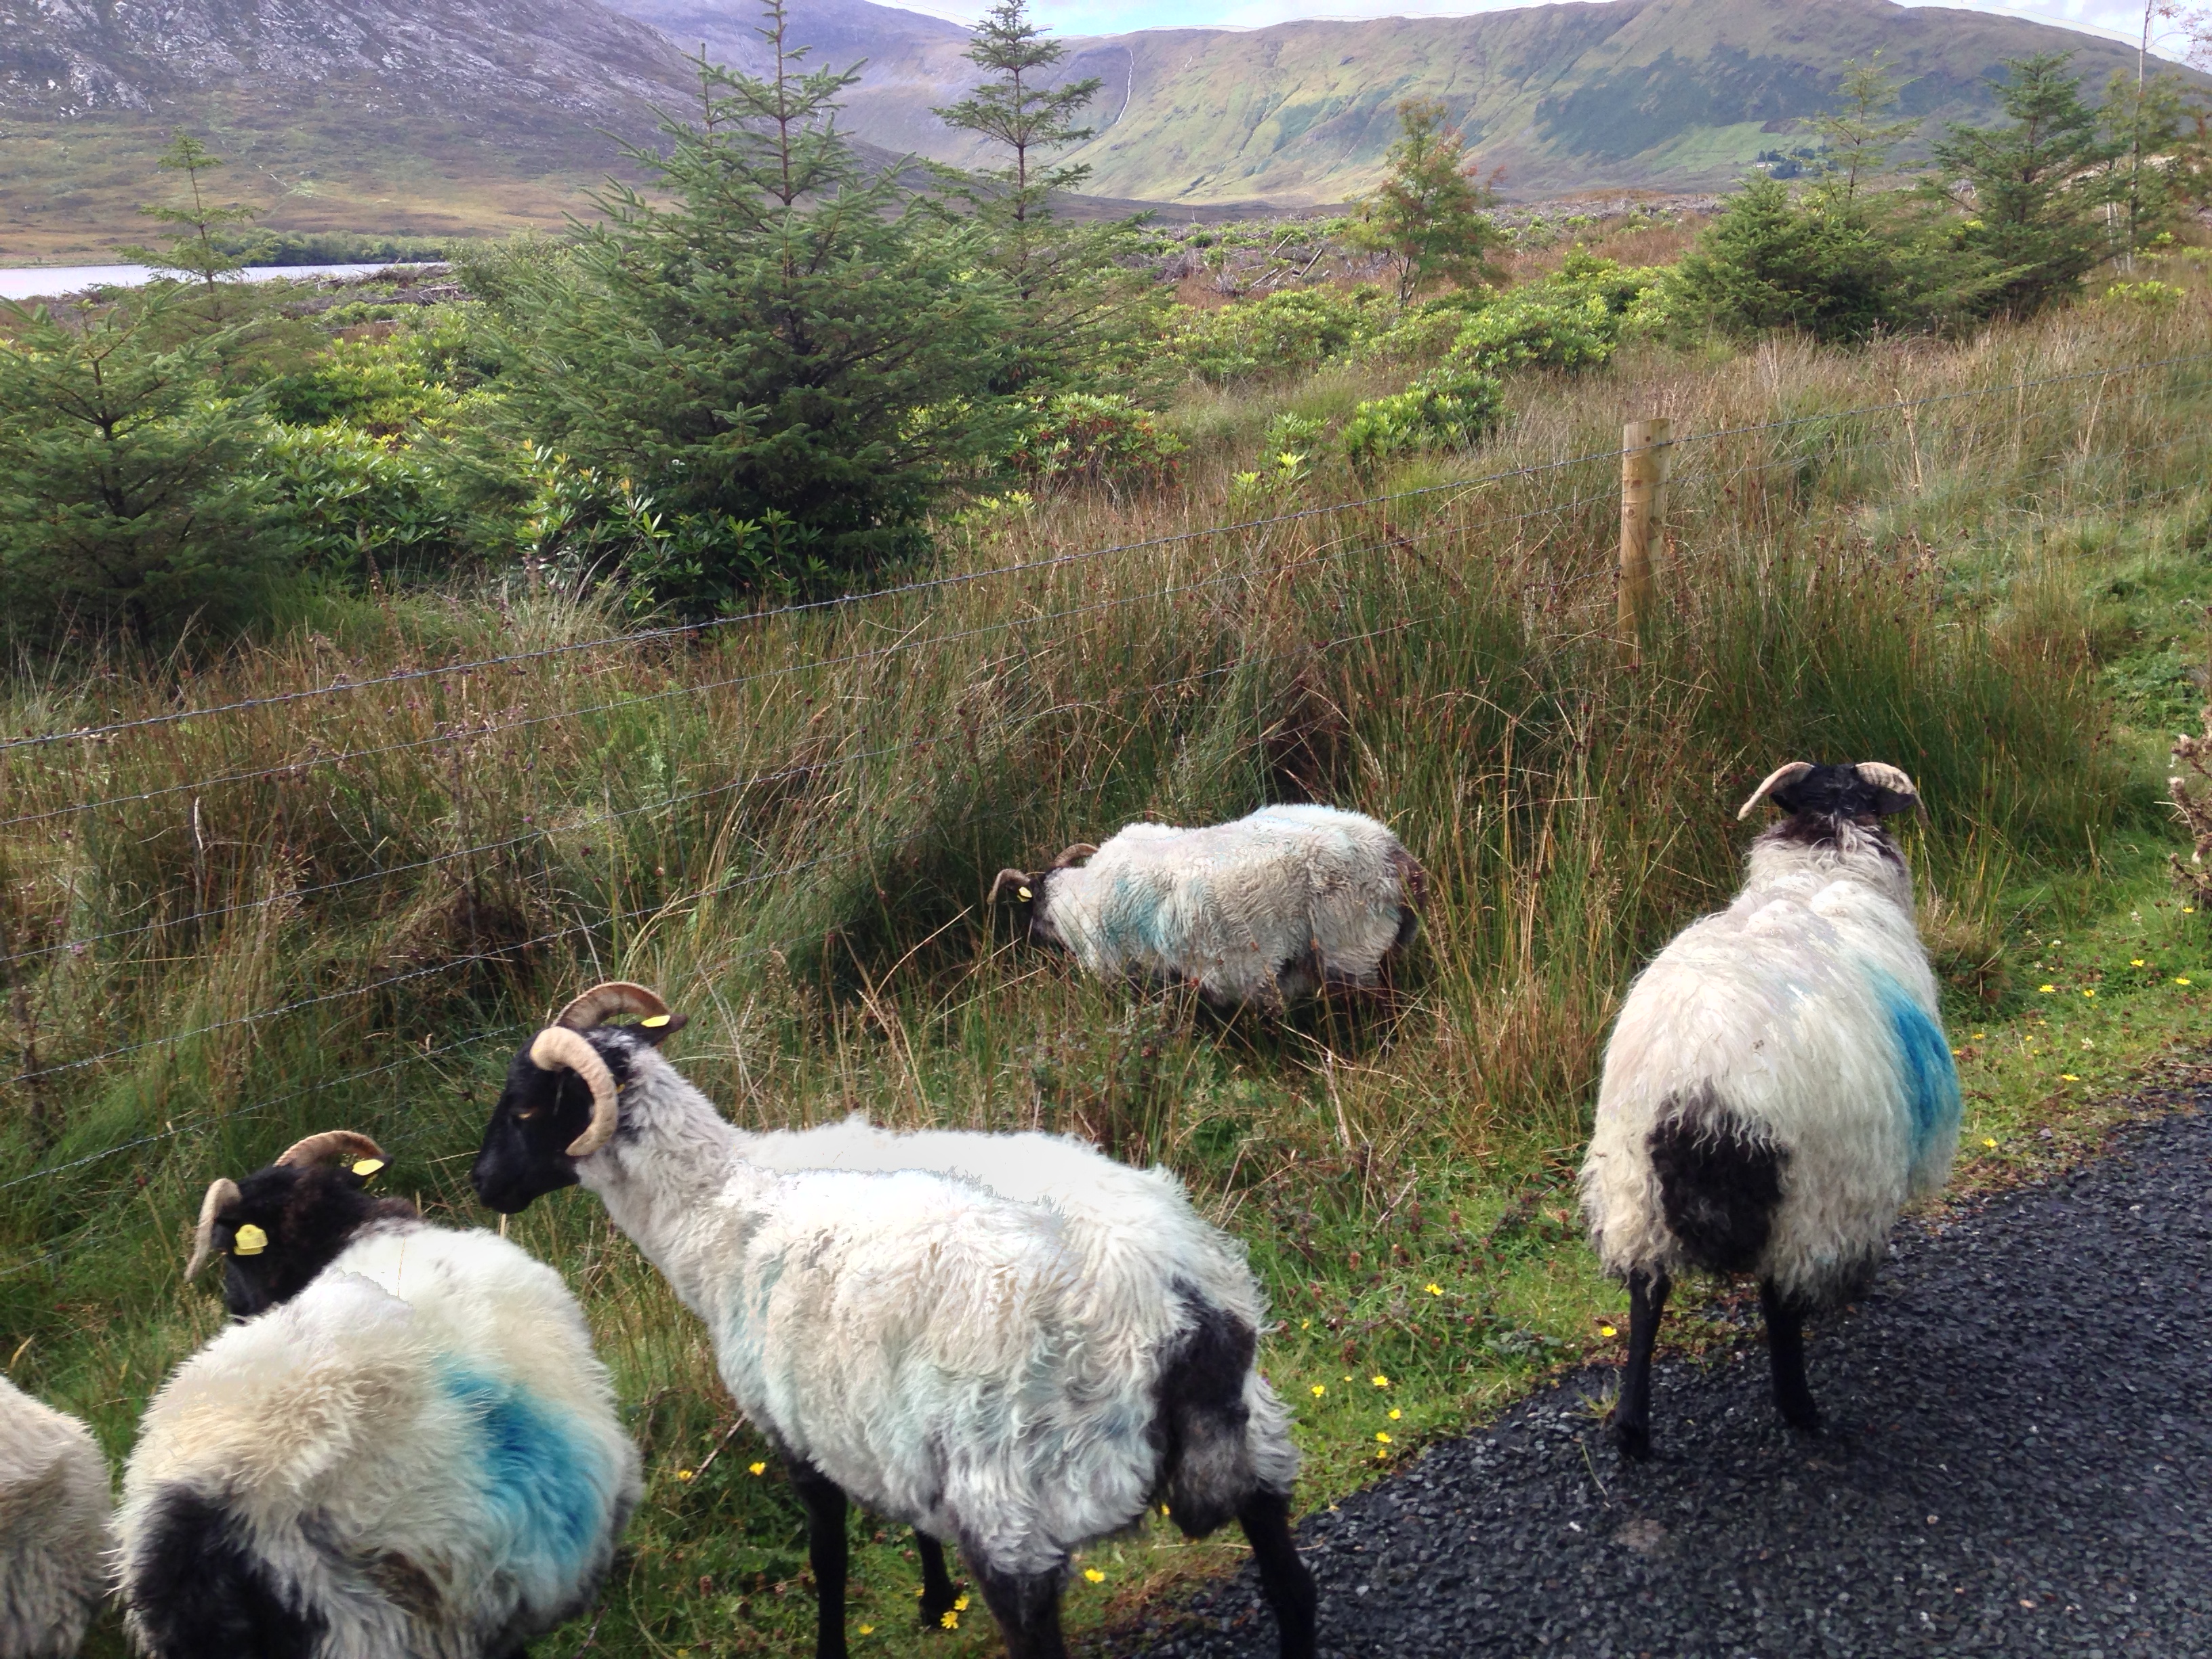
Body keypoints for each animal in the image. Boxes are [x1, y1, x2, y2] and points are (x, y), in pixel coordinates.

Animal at [466, 986, 1309, 1659]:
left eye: (526, 1106)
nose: (482, 1185)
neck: (716, 1208)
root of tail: (1178, 1310)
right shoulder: (885, 1420)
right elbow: (915, 1523)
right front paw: (936, 1606)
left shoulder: (796, 1428)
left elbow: (828, 1556)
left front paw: (835, 1647)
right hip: (1256, 1444)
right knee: (1290, 1584)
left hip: (1014, 1501)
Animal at [991, 805, 1433, 1012]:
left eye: (1030, 912)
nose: (1028, 940)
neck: (1077, 898)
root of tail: (1399, 861)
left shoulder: (1126, 974)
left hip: (1353, 953)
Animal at [1574, 760, 1955, 1460]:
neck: (1821, 869)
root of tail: (1702, 1090)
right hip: (1811, 1194)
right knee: (1779, 1300)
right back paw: (1800, 1408)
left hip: (1633, 1188)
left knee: (1646, 1296)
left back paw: (1633, 1429)